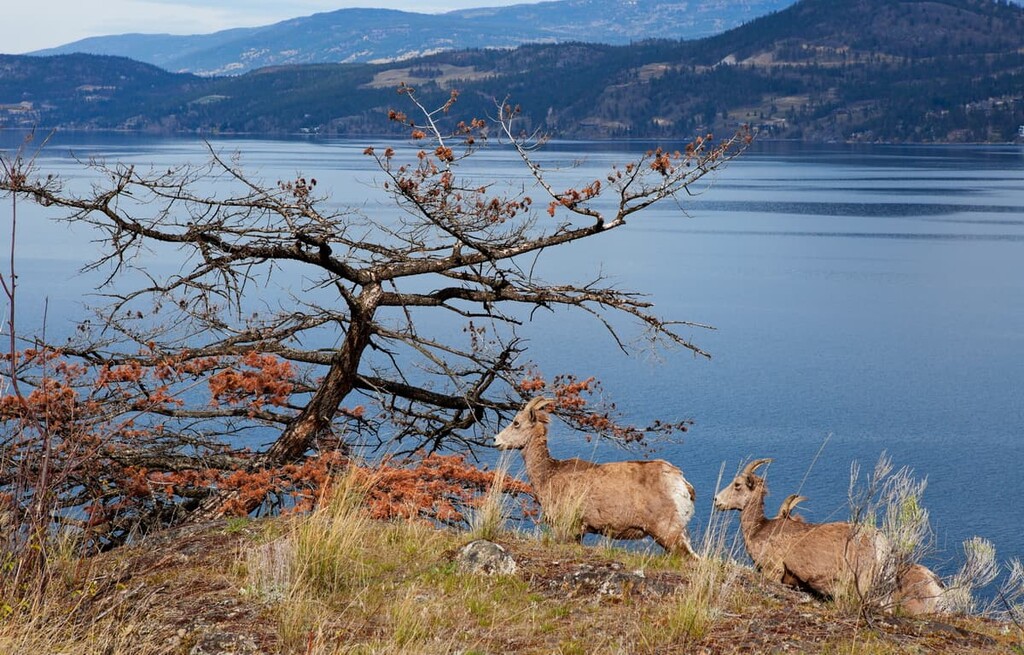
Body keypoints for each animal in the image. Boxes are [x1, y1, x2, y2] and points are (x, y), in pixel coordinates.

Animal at [494, 396, 697, 558]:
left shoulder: (569, 528)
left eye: (516, 423)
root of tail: (682, 484)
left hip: (668, 533)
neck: (548, 475)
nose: (496, 440)